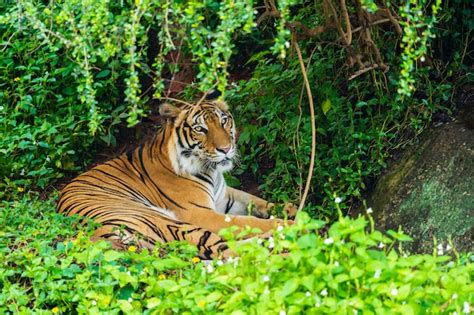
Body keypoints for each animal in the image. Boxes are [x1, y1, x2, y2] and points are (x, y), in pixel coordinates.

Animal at [58, 100, 296, 260]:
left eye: (224, 121)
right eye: (200, 129)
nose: (226, 149)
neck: (212, 171)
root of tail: (101, 235)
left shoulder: (224, 197)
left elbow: (255, 201)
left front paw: (289, 208)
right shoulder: (200, 213)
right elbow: (247, 222)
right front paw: (287, 221)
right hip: (163, 220)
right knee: (225, 250)